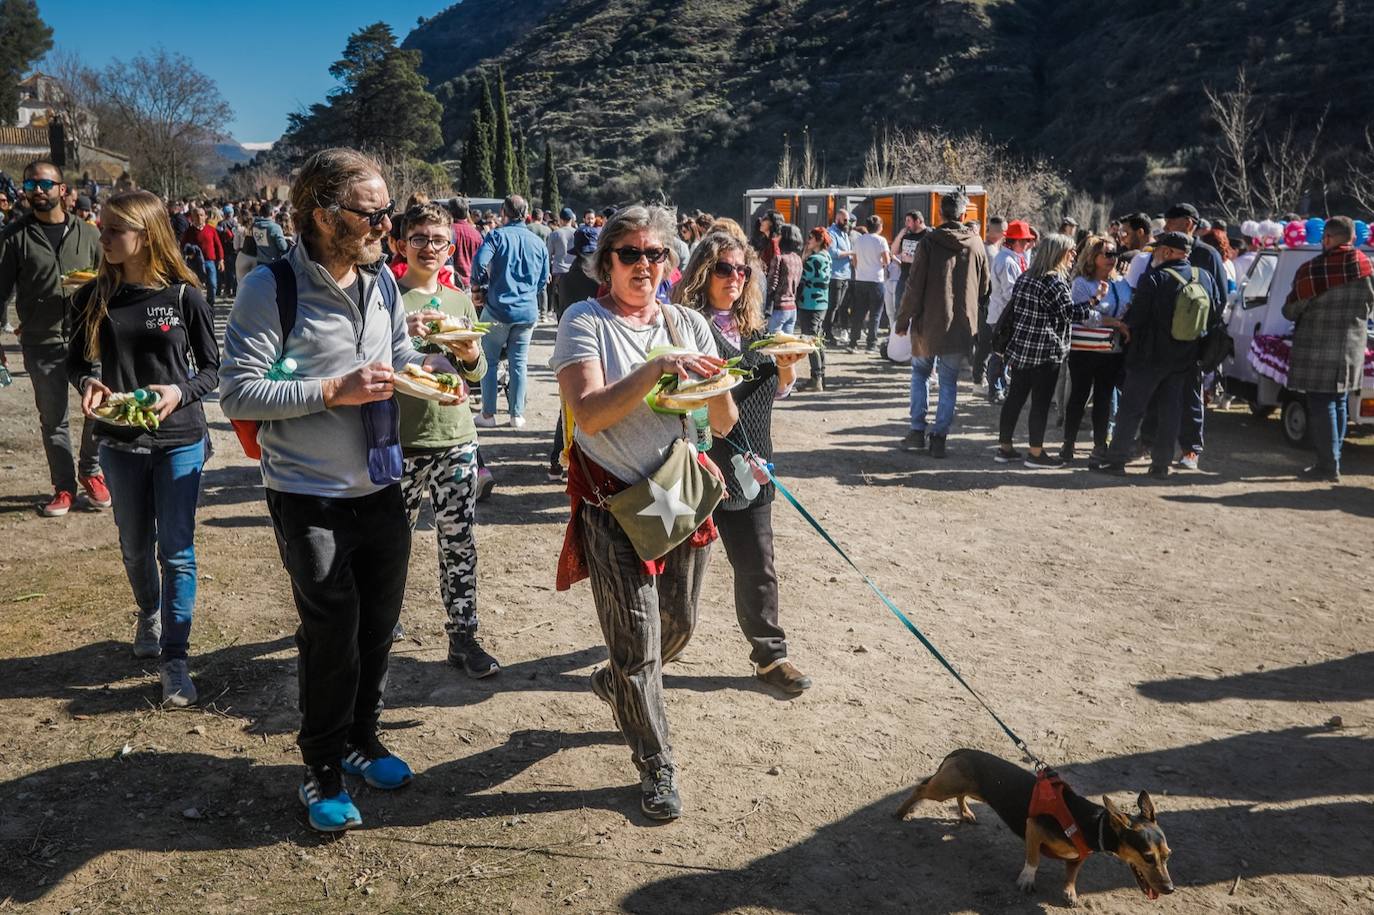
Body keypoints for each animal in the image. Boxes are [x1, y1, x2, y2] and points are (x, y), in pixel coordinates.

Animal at [895, 747, 1176, 901]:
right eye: (1148, 857)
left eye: (1167, 855)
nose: (1170, 888)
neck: (1089, 821)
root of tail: (961, 751)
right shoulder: (1034, 827)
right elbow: (1034, 859)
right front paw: (1027, 880)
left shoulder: (1079, 855)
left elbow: (1072, 873)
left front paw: (1070, 892)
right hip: (943, 788)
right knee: (921, 788)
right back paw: (900, 811)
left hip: (965, 788)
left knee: (960, 795)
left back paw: (965, 813)